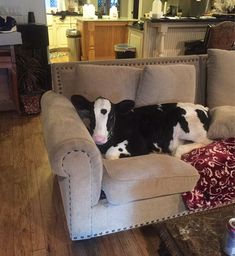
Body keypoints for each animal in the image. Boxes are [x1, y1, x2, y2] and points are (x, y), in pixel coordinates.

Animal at [71, 95, 211, 160]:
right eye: (91, 115)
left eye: (112, 116)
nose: (98, 138)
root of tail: (202, 107)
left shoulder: (139, 143)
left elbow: (111, 153)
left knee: (206, 141)